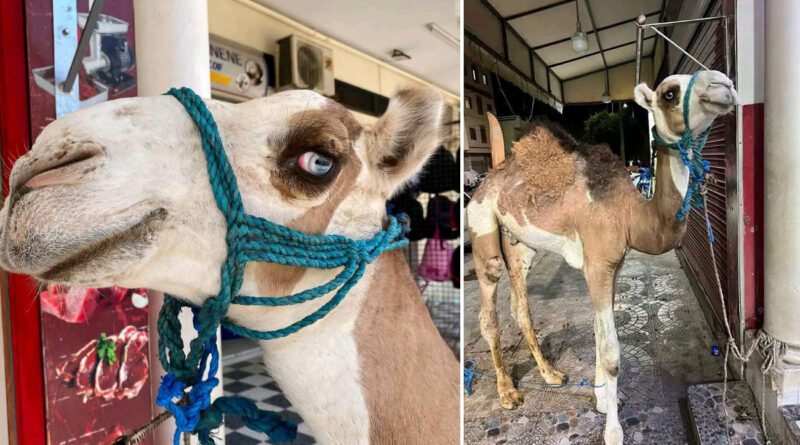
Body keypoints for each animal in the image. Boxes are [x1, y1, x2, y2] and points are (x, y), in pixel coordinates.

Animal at [466, 70, 738, 444]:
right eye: (669, 93)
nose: (724, 85)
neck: (630, 212)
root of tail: (489, 176)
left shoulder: (614, 265)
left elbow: (598, 334)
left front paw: (602, 400)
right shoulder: (597, 265)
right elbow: (611, 353)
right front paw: (613, 429)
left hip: (520, 246)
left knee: (520, 307)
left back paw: (551, 374)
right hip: (482, 233)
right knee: (489, 312)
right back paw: (508, 392)